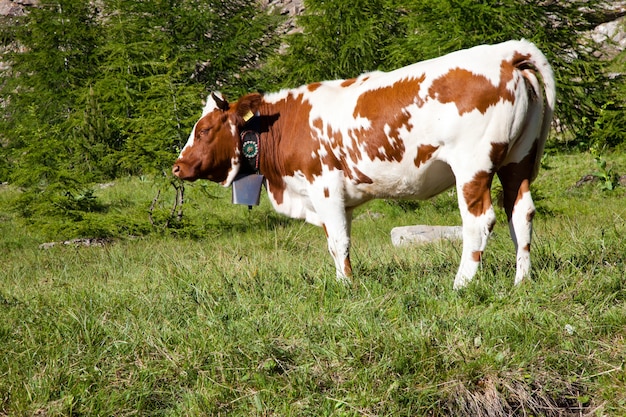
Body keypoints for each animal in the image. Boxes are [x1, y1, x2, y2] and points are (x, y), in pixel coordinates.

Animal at [172, 39, 556, 290]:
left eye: (203, 130)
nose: (177, 166)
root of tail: (505, 52)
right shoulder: (339, 198)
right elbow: (336, 240)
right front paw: (343, 279)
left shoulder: (324, 186)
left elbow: (338, 240)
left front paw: (346, 286)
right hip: (518, 160)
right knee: (520, 213)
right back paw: (521, 281)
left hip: (472, 164)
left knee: (479, 220)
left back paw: (461, 283)